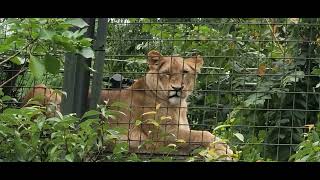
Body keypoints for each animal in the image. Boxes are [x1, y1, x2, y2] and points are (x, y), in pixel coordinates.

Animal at [23, 50, 235, 161]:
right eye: (166, 73)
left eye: (185, 72)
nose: (177, 88)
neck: (178, 106)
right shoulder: (162, 136)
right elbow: (204, 134)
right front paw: (226, 151)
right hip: (42, 90)